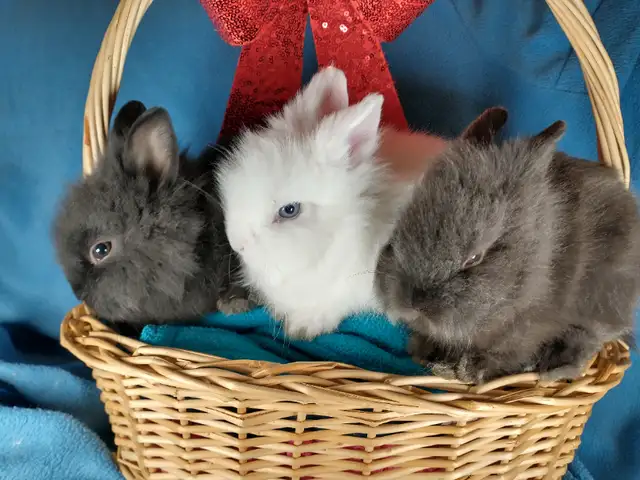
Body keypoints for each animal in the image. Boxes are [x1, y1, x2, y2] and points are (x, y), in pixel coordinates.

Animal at [375, 115, 640, 384]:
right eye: (397, 232)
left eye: (474, 258)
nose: (412, 303)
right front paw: (422, 351)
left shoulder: (526, 330)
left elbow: (503, 355)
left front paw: (470, 370)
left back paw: (552, 371)